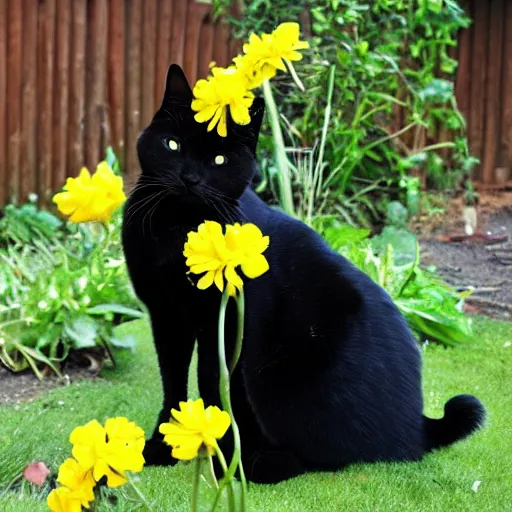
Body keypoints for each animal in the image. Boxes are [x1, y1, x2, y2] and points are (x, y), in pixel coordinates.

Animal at [122, 64, 486, 484]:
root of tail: (420, 426)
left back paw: (258, 465)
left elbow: (211, 381)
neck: (177, 230)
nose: (190, 179)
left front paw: (217, 452)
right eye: (173, 145)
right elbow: (174, 380)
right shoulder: (166, 315)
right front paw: (165, 444)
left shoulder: (221, 320)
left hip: (278, 383)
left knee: (328, 457)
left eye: (218, 160)